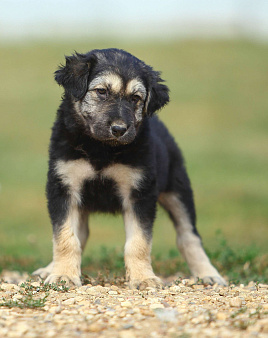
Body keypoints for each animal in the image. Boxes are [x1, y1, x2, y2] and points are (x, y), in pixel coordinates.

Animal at [33, 48, 226, 288]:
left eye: (136, 98)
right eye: (101, 91)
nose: (119, 129)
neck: (101, 150)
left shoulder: (139, 191)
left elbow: (139, 243)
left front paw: (143, 278)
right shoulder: (63, 187)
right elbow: (65, 237)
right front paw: (63, 275)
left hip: (178, 189)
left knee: (188, 235)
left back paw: (208, 273)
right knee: (81, 233)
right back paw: (50, 268)